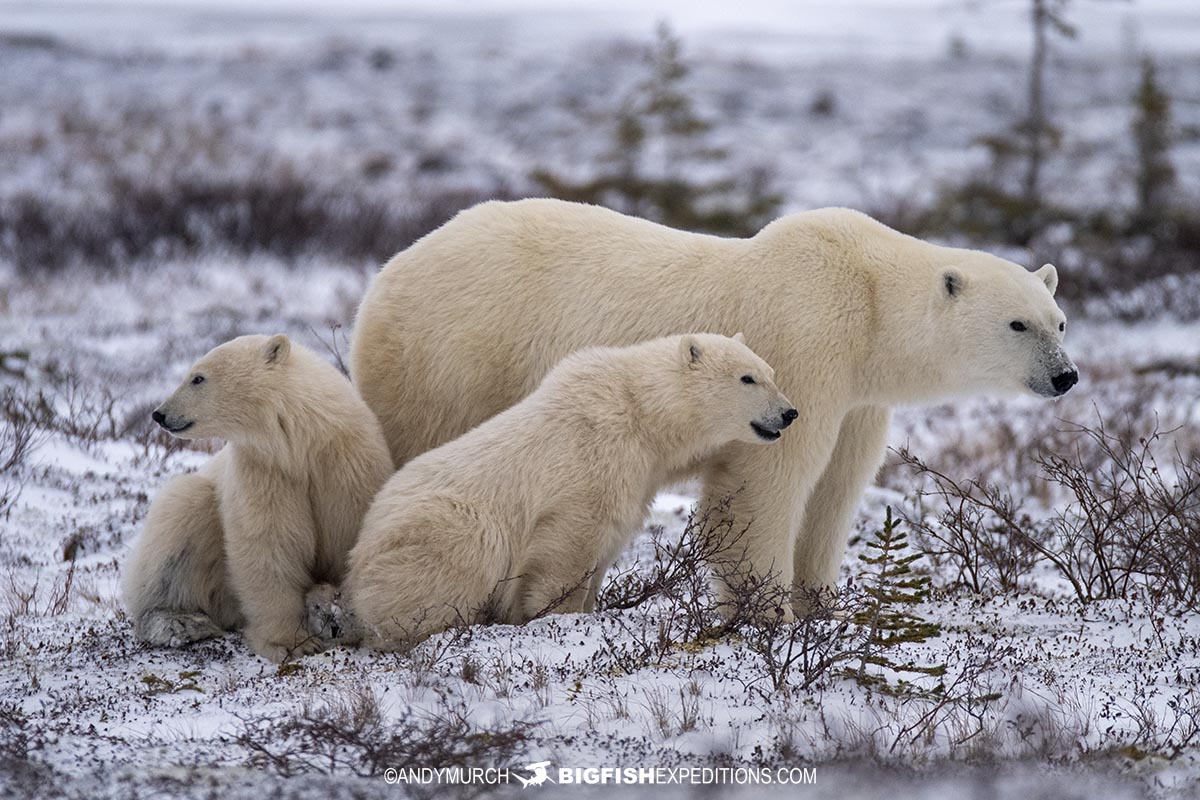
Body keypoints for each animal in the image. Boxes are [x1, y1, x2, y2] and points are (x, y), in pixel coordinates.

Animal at [350, 201, 1080, 614]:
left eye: (1060, 320)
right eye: (1017, 324)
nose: (1066, 376)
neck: (869, 301)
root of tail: (389, 270)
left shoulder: (859, 396)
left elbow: (836, 488)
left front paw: (824, 606)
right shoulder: (806, 342)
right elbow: (767, 482)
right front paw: (768, 616)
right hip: (454, 356)